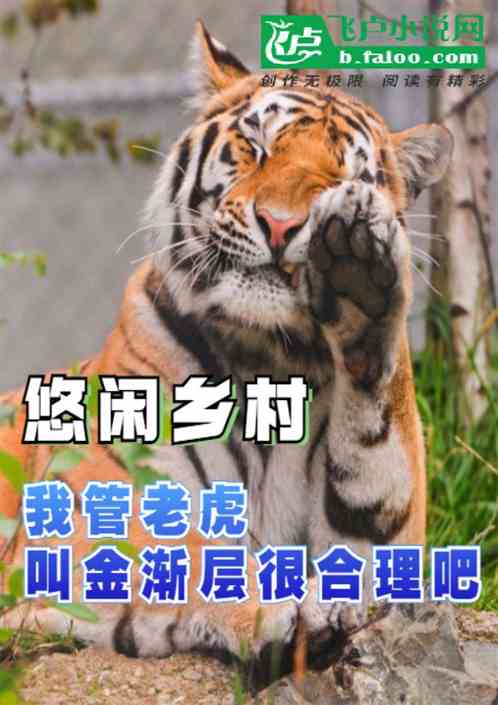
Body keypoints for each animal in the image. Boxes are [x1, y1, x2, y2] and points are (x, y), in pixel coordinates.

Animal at [0, 21, 453, 689]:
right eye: (257, 146)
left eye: (344, 178)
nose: (282, 225)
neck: (269, 356)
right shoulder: (84, 520)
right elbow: (189, 558)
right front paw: (293, 614)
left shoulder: (383, 537)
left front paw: (361, 270)